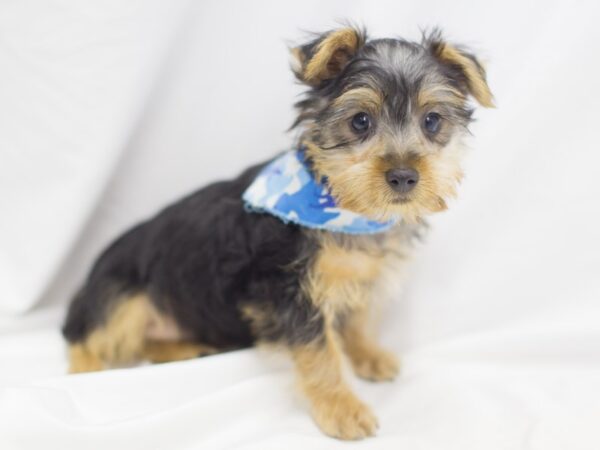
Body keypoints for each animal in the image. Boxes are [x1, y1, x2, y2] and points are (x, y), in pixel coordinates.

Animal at [62, 27, 492, 440]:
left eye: (432, 121)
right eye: (360, 121)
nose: (404, 176)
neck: (345, 210)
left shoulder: (362, 275)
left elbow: (357, 319)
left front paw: (368, 355)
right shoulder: (288, 291)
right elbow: (320, 352)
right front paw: (341, 408)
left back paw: (188, 348)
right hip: (121, 296)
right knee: (85, 335)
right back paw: (87, 374)